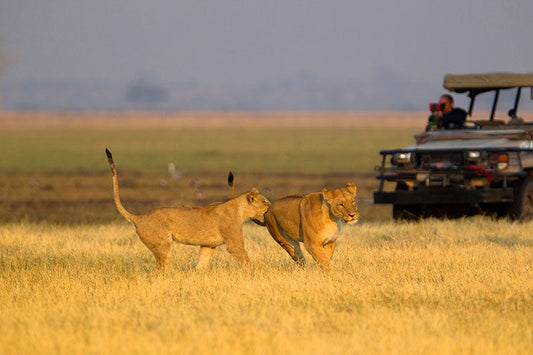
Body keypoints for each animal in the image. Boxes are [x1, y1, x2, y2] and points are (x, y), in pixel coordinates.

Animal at [105, 149, 270, 272]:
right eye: (265, 202)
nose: (271, 206)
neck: (241, 210)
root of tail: (140, 218)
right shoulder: (234, 243)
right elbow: (245, 260)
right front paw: (254, 273)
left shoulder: (208, 245)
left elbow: (202, 262)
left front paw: (199, 274)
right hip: (163, 244)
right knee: (165, 268)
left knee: (159, 269)